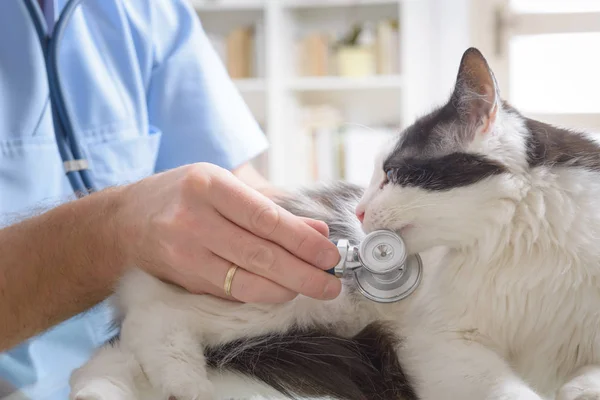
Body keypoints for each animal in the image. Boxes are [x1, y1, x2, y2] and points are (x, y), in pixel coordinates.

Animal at [67, 47, 600, 400]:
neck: (514, 245)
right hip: (293, 298)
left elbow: (583, 380)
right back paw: (186, 384)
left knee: (114, 355)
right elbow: (509, 391)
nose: (360, 211)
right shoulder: (439, 343)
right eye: (374, 176)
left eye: (393, 174)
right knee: (147, 324)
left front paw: (575, 389)